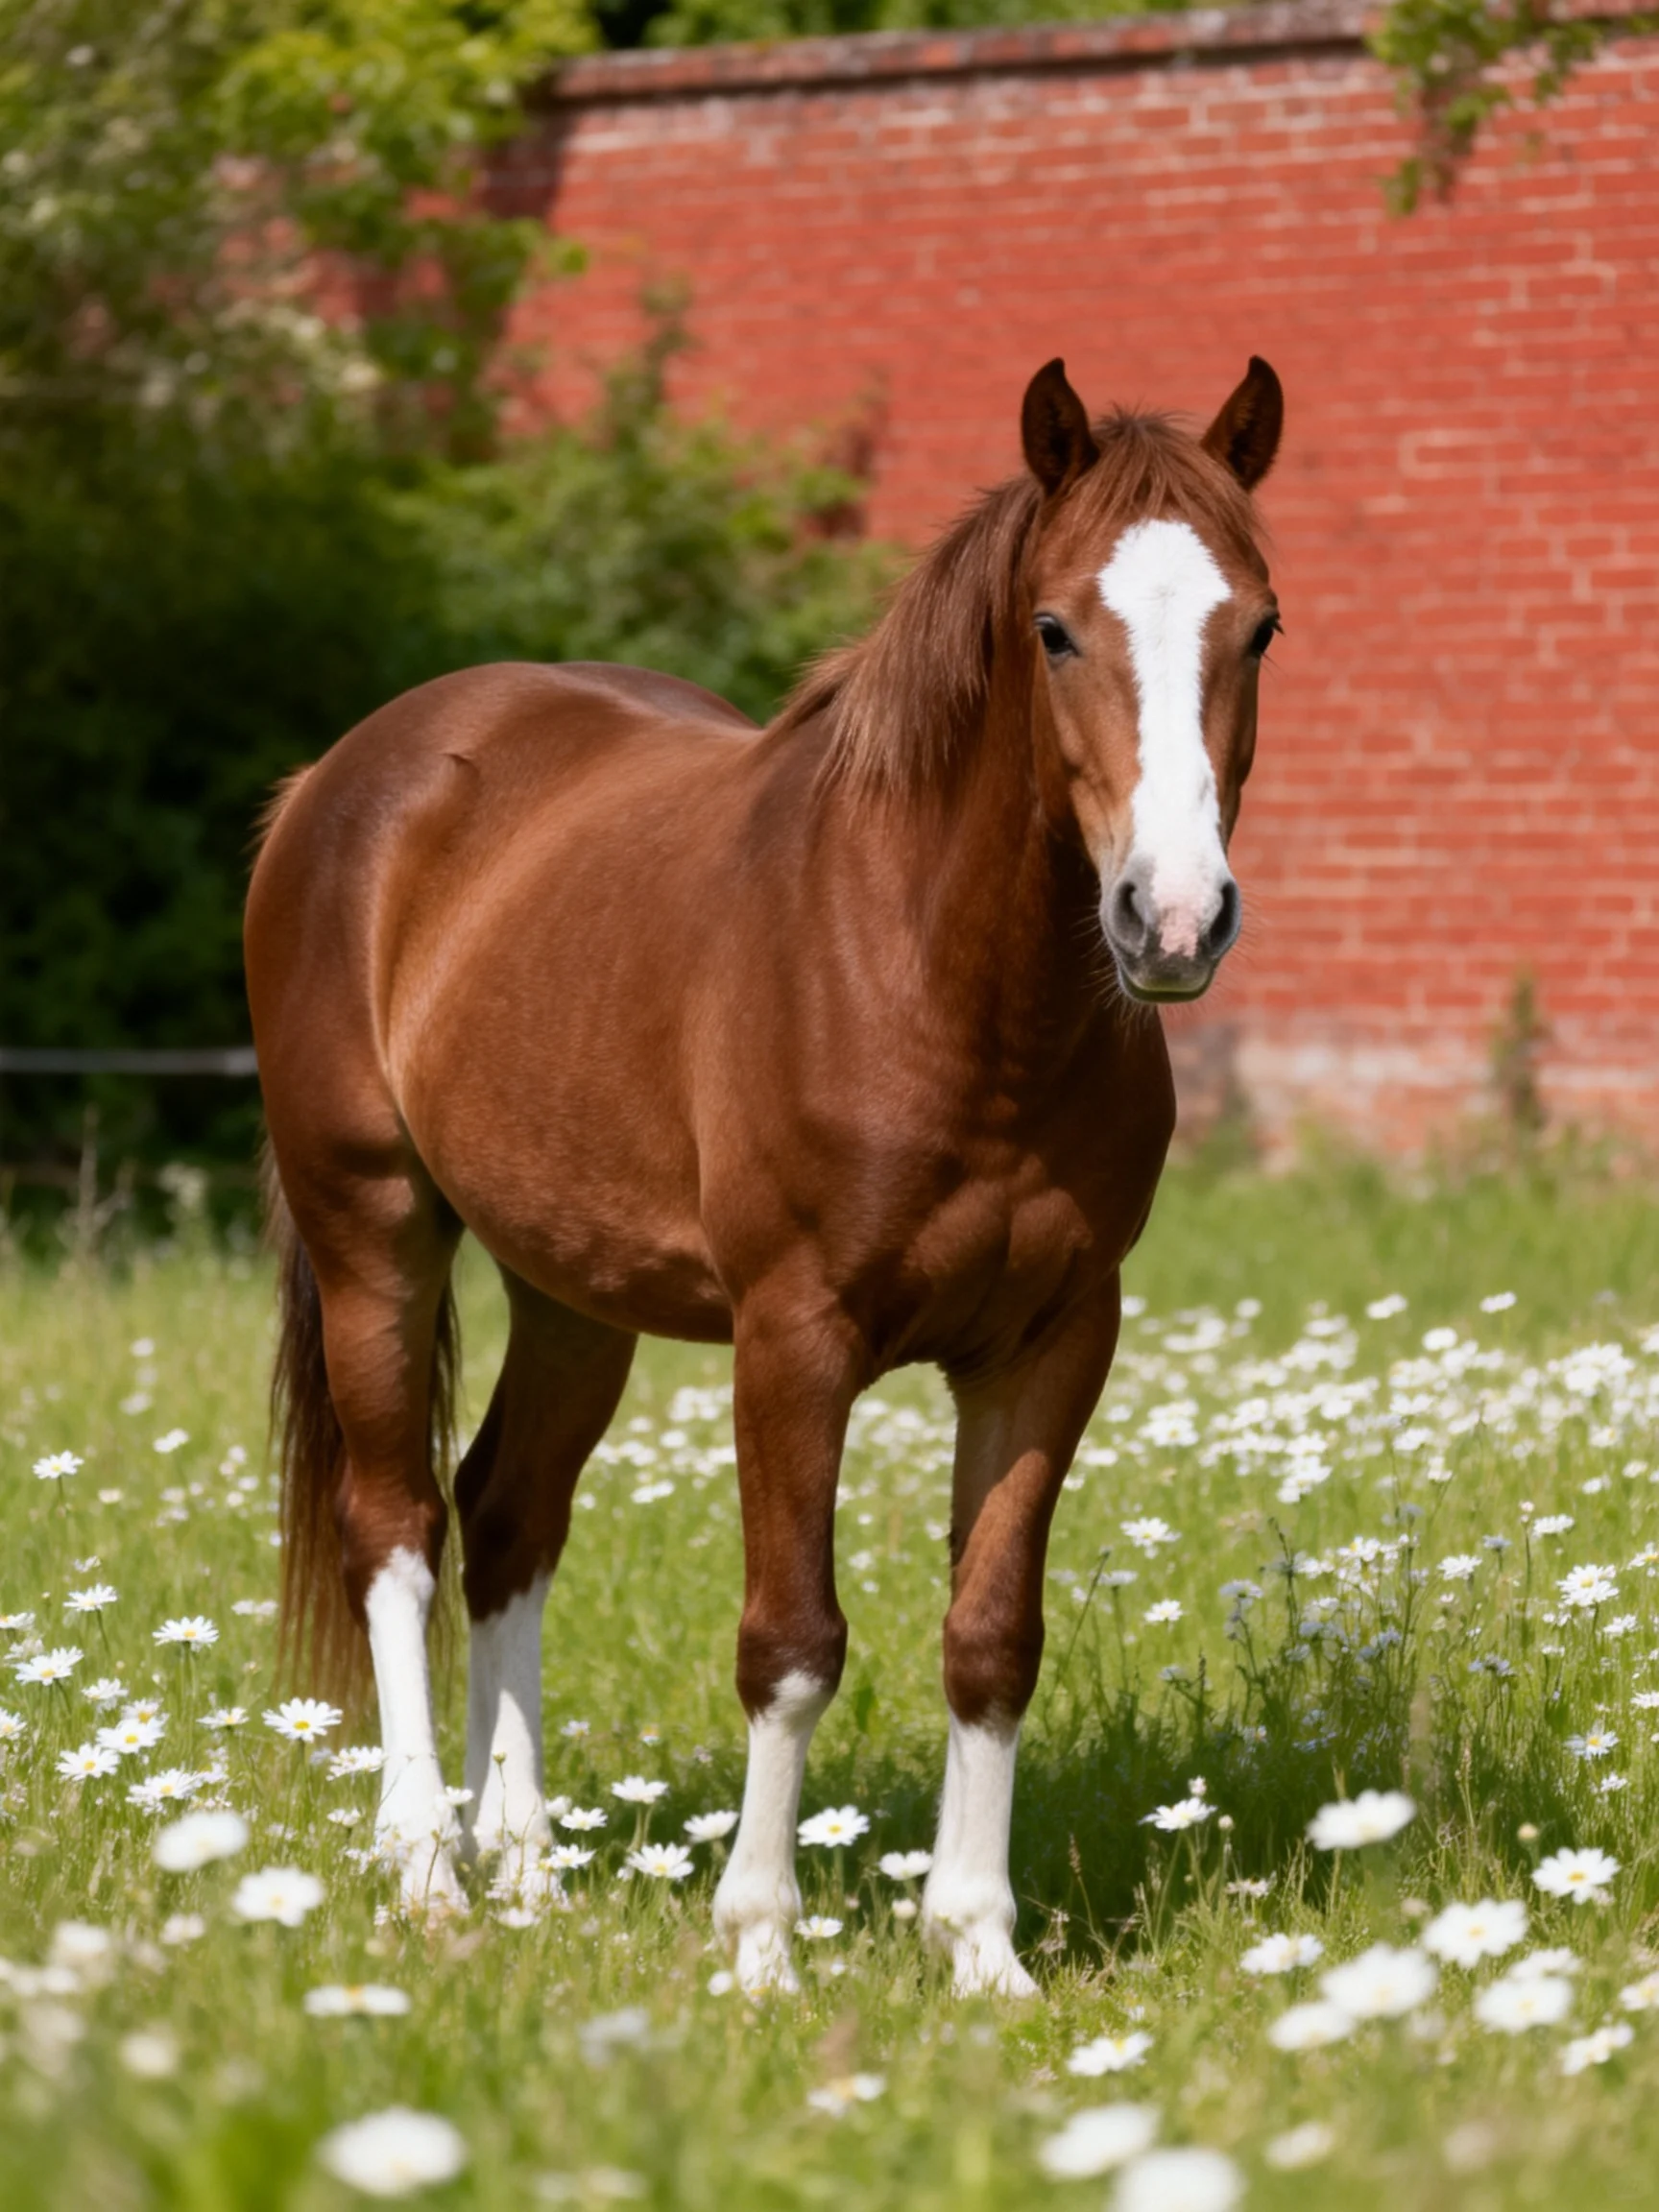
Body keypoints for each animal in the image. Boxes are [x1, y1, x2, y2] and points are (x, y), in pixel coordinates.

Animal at [246, 354, 1283, 1996]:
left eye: (1259, 627)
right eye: (1056, 629)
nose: (1172, 920)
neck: (940, 980)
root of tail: (335, 783)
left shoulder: (1054, 1344)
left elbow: (993, 1636)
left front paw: (980, 1951)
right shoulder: (793, 1341)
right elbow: (791, 1644)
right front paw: (759, 1949)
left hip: (572, 1291)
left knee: (507, 1516)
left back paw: (524, 1867)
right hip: (374, 1234)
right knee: (396, 1527)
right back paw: (427, 1873)